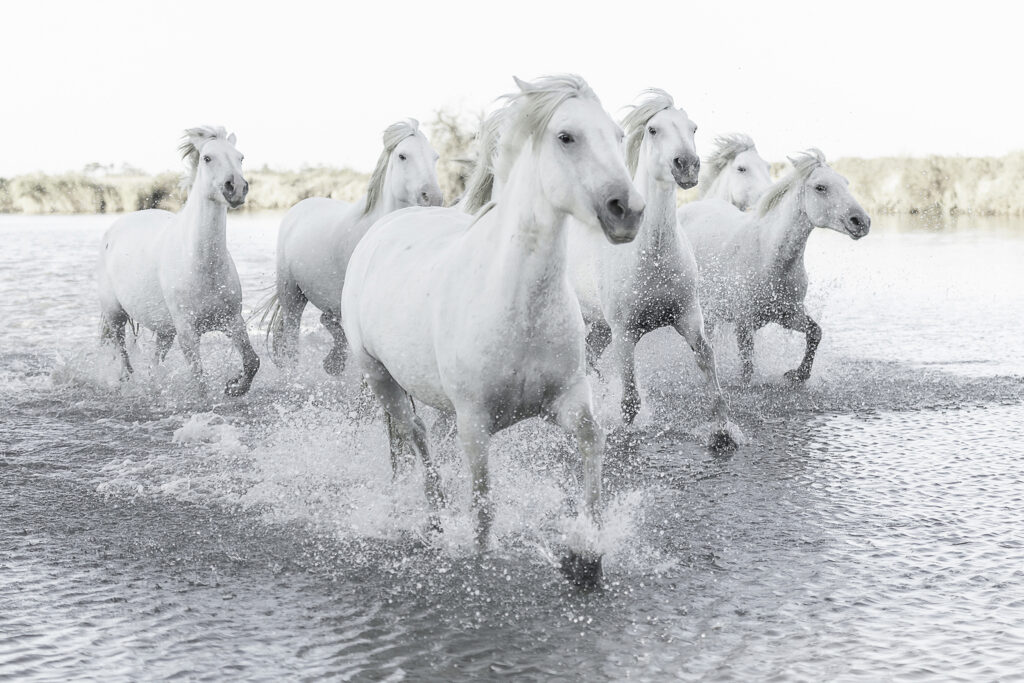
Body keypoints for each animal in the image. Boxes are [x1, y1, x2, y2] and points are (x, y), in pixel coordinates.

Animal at [96, 126, 259, 396]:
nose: (236, 188)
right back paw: (126, 382)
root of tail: (113, 230)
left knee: (153, 367)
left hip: (165, 332)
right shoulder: (187, 332)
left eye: (241, 157)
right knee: (124, 358)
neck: (202, 265)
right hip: (115, 315)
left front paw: (233, 386)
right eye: (207, 158)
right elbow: (200, 382)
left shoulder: (232, 321)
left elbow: (252, 361)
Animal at [265, 119, 443, 373]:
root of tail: (299, 207)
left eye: (435, 157)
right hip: (292, 295)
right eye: (402, 156)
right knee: (292, 338)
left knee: (328, 322)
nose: (433, 198)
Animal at [341, 75, 645, 586]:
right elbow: (483, 507)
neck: (518, 303)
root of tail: (386, 226)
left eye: (619, 135)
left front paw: (586, 554)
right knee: (414, 434)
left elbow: (592, 446)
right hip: (380, 377)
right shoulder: (475, 424)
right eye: (566, 136)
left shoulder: (566, 401)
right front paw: (482, 562)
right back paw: (434, 518)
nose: (628, 210)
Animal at [566, 89, 740, 448]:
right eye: (653, 129)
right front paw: (624, 436)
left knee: (590, 360)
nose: (686, 164)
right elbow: (630, 400)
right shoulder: (625, 335)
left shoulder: (688, 317)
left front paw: (723, 432)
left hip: (601, 327)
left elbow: (708, 366)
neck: (653, 257)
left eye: (693, 127)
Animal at [676, 149, 871, 383]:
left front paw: (799, 374)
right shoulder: (743, 322)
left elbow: (815, 332)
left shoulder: (787, 314)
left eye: (846, 183)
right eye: (820, 187)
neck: (769, 257)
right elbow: (747, 366)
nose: (861, 222)